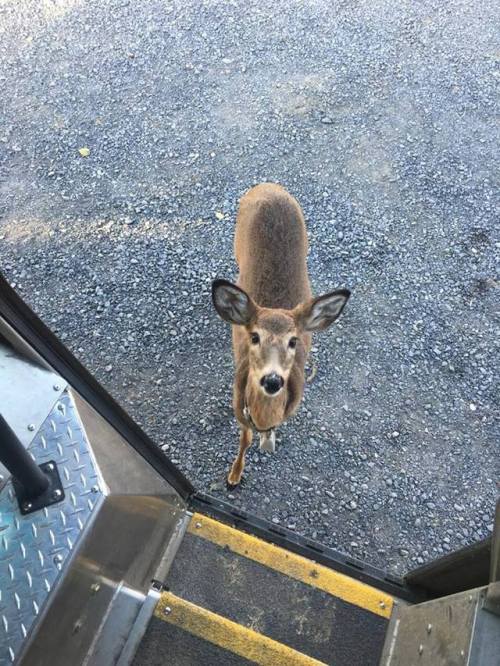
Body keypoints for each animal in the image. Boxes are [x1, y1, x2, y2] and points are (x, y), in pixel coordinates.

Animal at [213, 184, 350, 486]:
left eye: (293, 341)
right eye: (254, 337)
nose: (273, 380)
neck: (262, 417)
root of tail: (268, 186)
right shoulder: (238, 409)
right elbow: (244, 438)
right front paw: (234, 476)